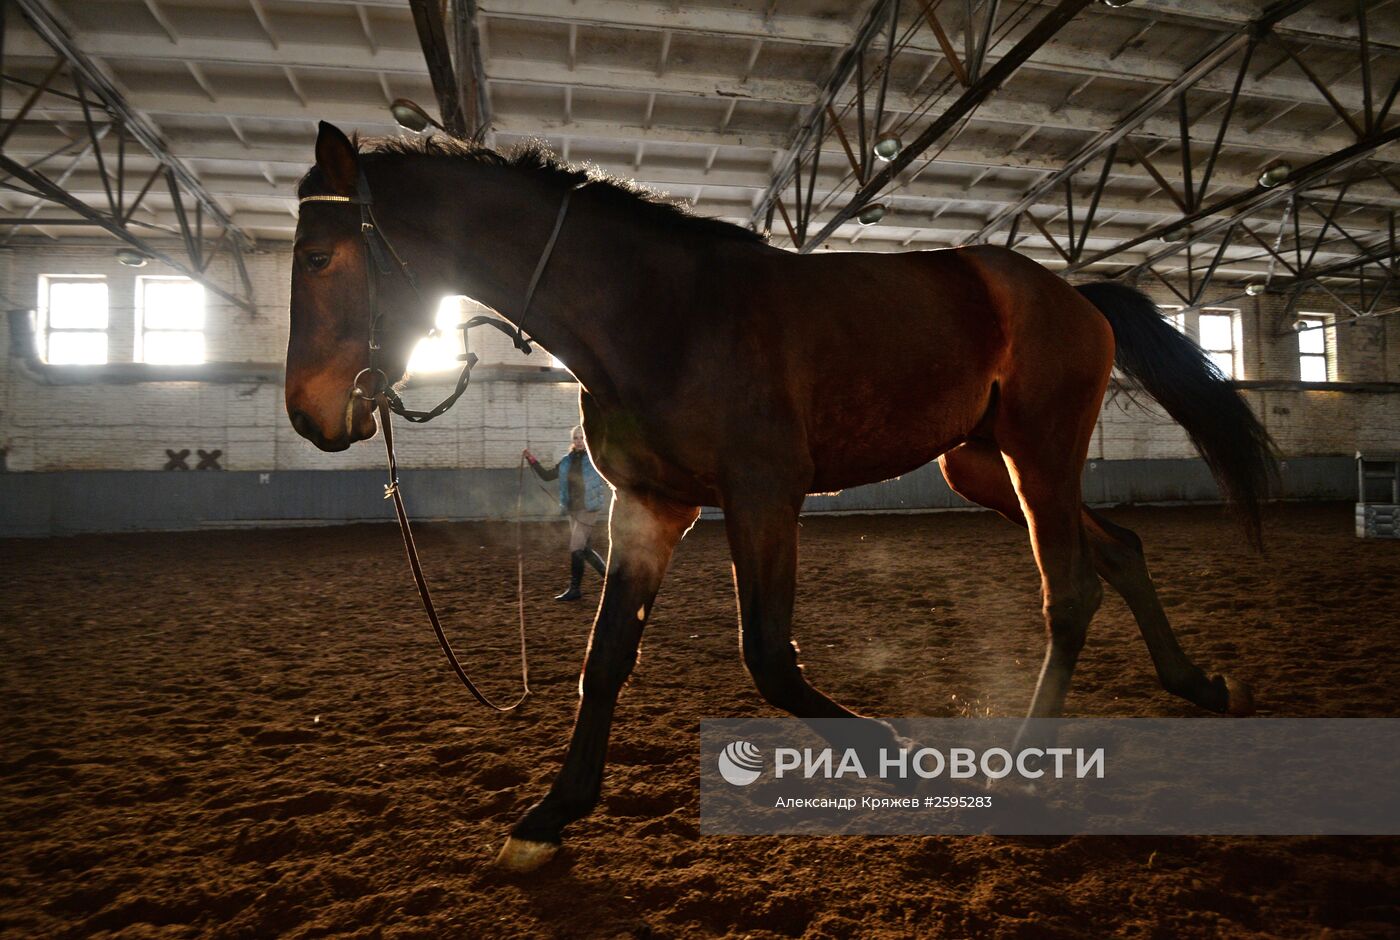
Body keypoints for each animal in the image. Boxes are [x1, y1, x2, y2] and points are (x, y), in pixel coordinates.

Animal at [289, 121, 1276, 874]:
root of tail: (1074, 294)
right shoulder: (649, 506)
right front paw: (549, 817)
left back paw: (1024, 767)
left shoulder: (765, 497)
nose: (309, 414)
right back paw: (1198, 683)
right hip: (986, 468)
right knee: (1117, 552)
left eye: (320, 255)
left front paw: (903, 760)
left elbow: (768, 657)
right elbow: (605, 661)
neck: (660, 314)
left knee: (1069, 592)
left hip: (1040, 455)